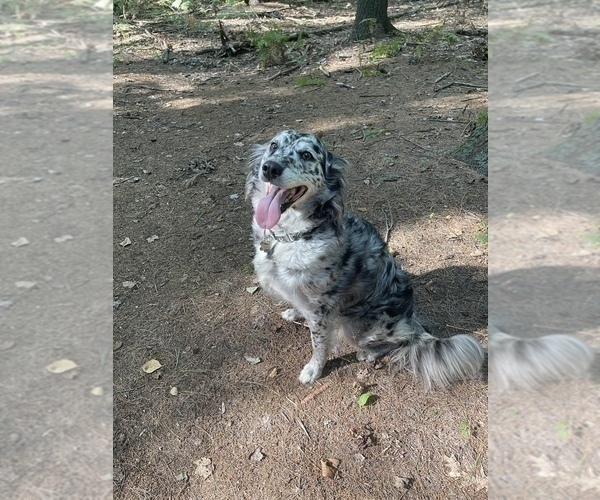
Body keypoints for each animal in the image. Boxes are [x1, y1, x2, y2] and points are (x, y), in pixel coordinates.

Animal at [246, 131, 486, 388]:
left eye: (307, 155)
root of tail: (412, 321)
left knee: (398, 342)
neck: (291, 235)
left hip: (355, 326)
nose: (270, 167)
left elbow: (319, 344)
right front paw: (294, 312)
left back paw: (368, 354)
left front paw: (314, 369)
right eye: (273, 145)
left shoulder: (321, 310)